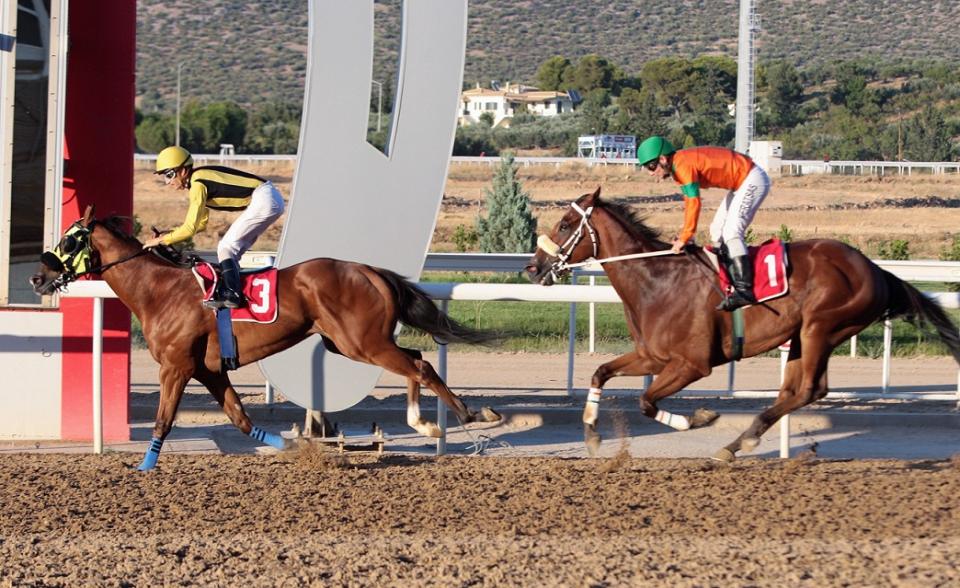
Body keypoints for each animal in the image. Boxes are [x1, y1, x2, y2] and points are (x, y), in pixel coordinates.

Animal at [33, 204, 498, 470]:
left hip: (361, 342)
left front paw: (144, 468)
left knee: (420, 365)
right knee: (416, 358)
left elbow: (164, 419)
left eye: (70, 240)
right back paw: (428, 423)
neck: (159, 290)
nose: (39, 277)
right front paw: (293, 445)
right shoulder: (209, 370)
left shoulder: (177, 367)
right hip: (352, 342)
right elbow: (241, 419)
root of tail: (369, 270)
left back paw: (467, 415)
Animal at [524, 187, 960, 460]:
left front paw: (699, 418)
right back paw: (739, 443)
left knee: (809, 389)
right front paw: (592, 433)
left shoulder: (692, 364)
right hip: (801, 337)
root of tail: (875, 269)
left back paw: (737, 443)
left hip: (820, 328)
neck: (657, 280)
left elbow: (647, 401)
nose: (534, 267)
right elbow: (600, 372)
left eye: (565, 225)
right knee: (796, 391)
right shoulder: (652, 357)